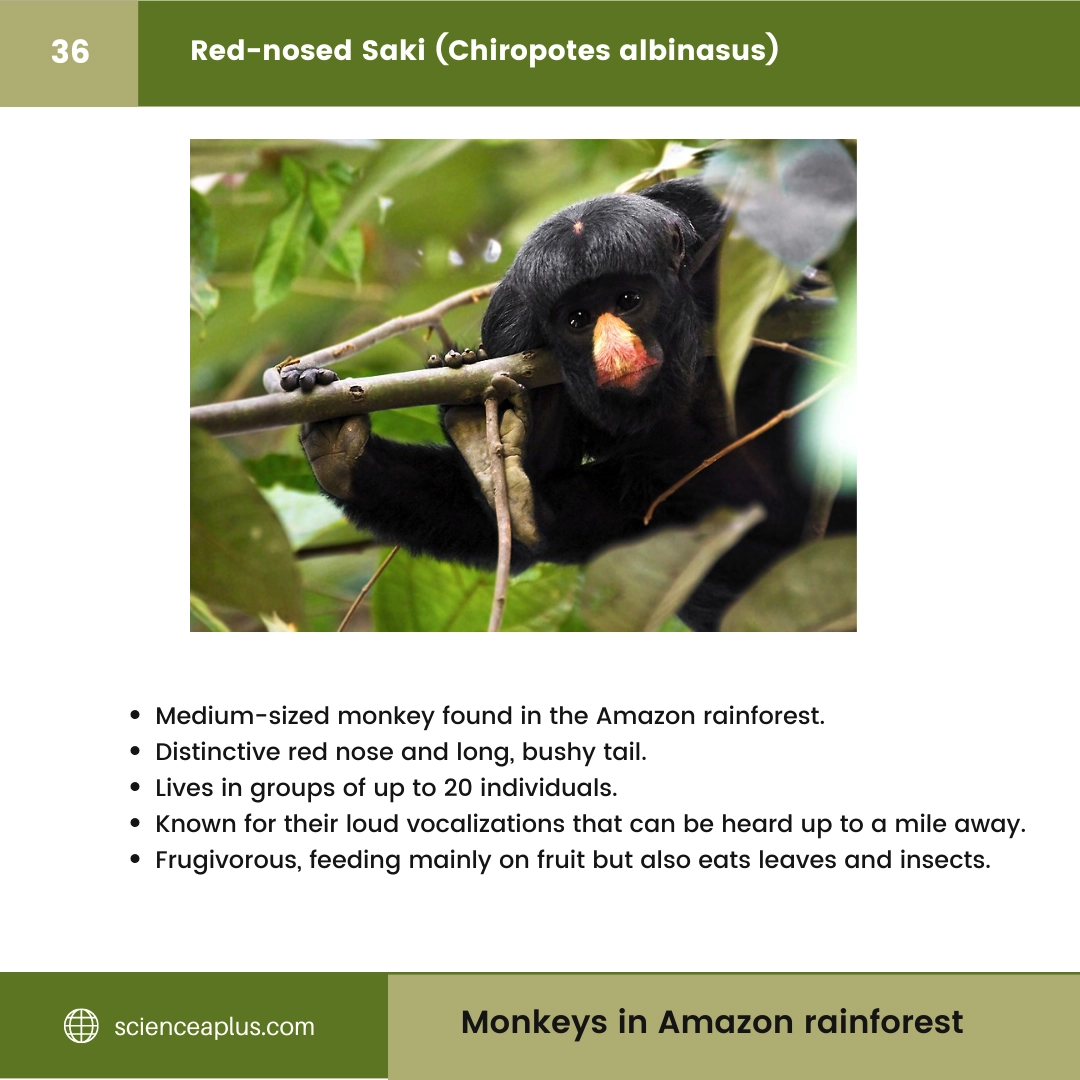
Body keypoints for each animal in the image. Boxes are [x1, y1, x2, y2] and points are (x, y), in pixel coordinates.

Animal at [286, 179, 853, 630]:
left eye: (628, 301)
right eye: (578, 320)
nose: (615, 352)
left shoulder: (716, 222)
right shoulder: (512, 331)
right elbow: (511, 534)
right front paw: (338, 432)